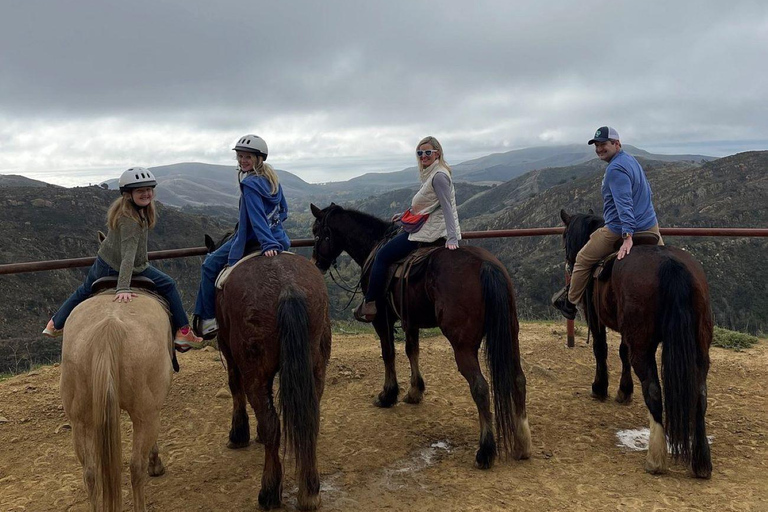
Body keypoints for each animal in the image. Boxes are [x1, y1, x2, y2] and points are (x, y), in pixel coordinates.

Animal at [60, 290, 174, 510]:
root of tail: (109, 328)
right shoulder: (151, 411)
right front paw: (155, 465)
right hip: (146, 415)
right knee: (136, 466)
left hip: (80, 421)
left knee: (90, 473)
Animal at [560, 209, 712, 480]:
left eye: (565, 236)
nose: (569, 261)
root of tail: (670, 265)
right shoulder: (626, 331)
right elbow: (622, 352)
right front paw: (624, 390)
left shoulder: (595, 317)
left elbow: (601, 349)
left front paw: (600, 387)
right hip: (700, 347)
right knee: (700, 394)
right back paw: (701, 461)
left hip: (643, 347)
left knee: (654, 391)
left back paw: (656, 458)